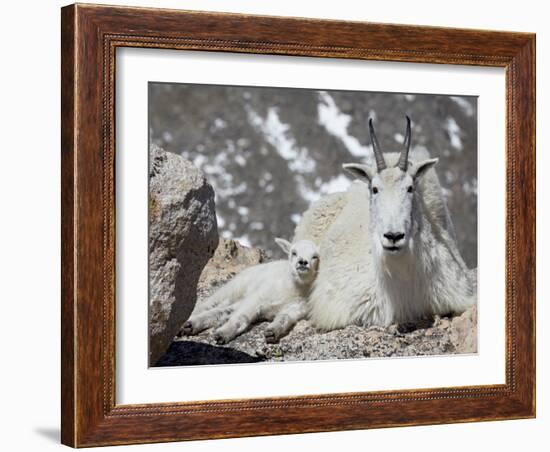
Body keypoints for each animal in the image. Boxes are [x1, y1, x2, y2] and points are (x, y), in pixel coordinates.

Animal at [181, 240, 320, 342]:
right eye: (294, 253)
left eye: (315, 256)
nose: (303, 262)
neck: (293, 288)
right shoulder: (258, 297)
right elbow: (241, 317)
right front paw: (223, 334)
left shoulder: (295, 309)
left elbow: (283, 319)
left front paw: (271, 332)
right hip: (235, 287)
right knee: (210, 303)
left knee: (222, 311)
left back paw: (190, 326)